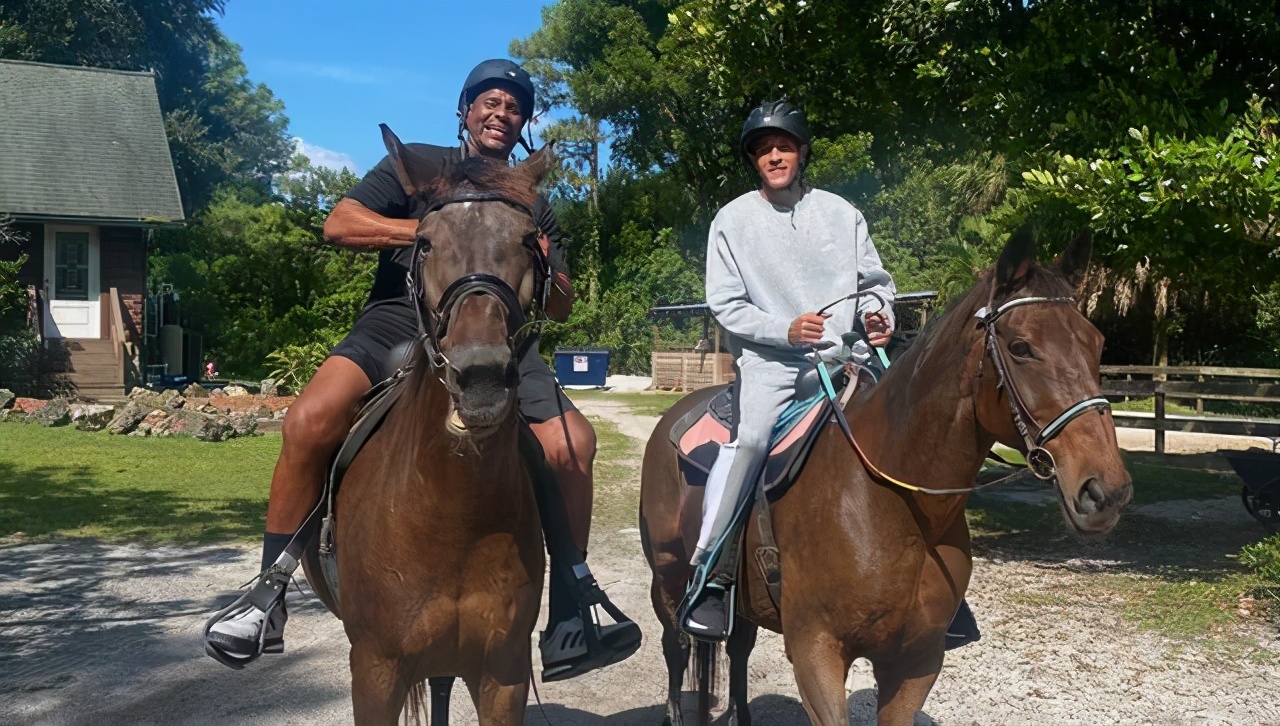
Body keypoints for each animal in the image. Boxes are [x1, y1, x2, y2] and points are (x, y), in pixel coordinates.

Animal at [302, 126, 558, 726]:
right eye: (424, 243)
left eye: (528, 240)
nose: (481, 377)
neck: (451, 515)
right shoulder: (375, 670)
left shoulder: (503, 672)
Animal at [637, 231, 1131, 726]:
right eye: (1021, 347)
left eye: (1097, 342)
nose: (1106, 491)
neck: (889, 504)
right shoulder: (816, 654)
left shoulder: (915, 661)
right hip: (669, 580)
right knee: (676, 647)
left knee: (737, 650)